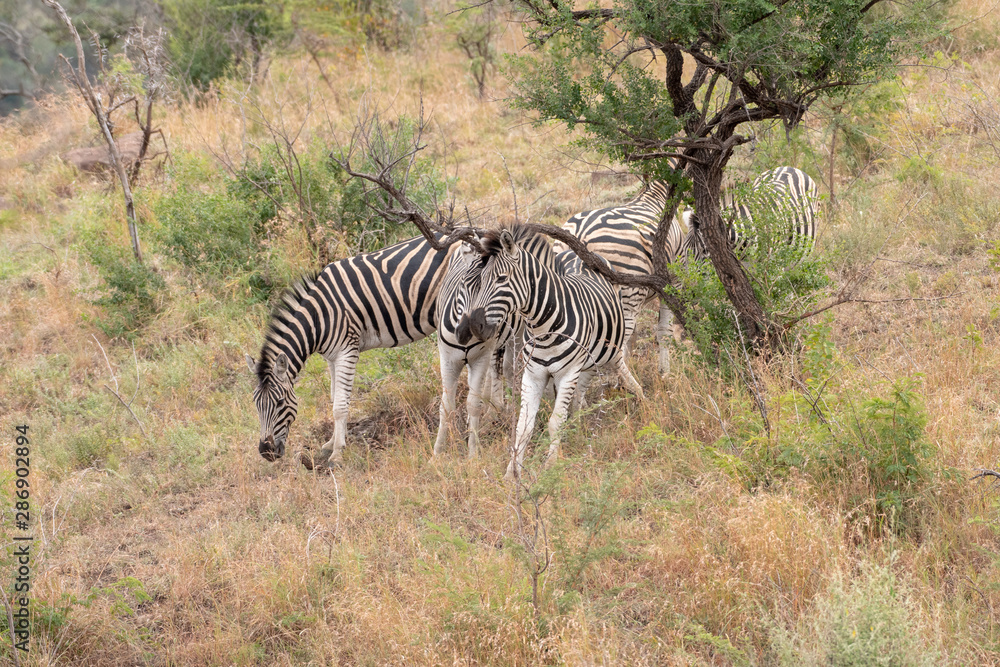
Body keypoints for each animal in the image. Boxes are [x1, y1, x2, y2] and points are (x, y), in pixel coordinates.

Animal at [245, 233, 458, 466]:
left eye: (280, 402)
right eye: (256, 403)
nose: (266, 452)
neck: (319, 317)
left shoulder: (347, 351)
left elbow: (339, 406)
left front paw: (338, 452)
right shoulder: (331, 357)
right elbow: (334, 398)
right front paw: (332, 442)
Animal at [457, 225, 644, 480]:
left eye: (501, 279)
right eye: (480, 281)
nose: (474, 327)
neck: (543, 327)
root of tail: (576, 252)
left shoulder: (568, 373)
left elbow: (556, 421)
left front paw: (551, 465)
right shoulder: (533, 374)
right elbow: (523, 425)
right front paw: (512, 472)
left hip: (609, 346)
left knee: (619, 366)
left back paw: (642, 399)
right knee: (581, 391)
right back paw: (579, 424)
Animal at [556, 180, 685, 375]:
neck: (656, 196)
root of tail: (581, 232)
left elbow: (634, 337)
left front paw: (632, 362)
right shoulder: (673, 283)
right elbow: (664, 331)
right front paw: (665, 373)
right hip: (625, 294)